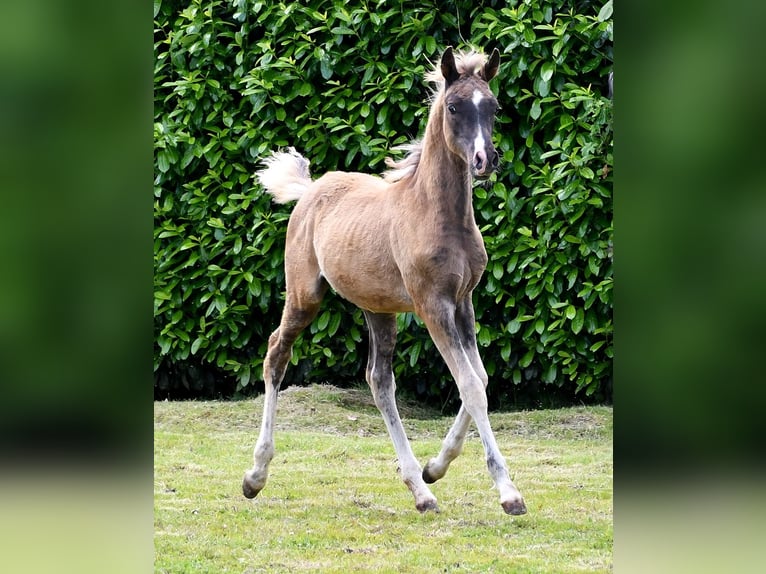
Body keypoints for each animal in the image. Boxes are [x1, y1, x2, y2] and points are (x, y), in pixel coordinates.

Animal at [244, 46, 528, 516]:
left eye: (493, 107)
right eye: (454, 107)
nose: (485, 161)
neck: (438, 215)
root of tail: (310, 189)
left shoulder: (463, 302)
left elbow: (480, 381)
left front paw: (436, 467)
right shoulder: (432, 305)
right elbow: (471, 385)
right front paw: (508, 492)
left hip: (378, 309)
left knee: (379, 381)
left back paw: (421, 489)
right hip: (304, 295)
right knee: (276, 354)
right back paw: (255, 475)